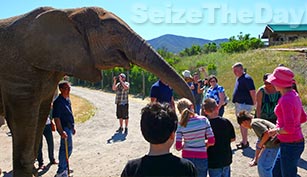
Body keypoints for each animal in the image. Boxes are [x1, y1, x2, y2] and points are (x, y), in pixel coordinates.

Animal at [0, 6, 195, 176]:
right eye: (113, 33)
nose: (189, 107)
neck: (69, 12)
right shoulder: (18, 72)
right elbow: (23, 125)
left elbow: (41, 116)